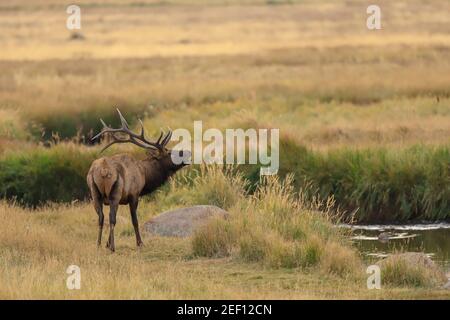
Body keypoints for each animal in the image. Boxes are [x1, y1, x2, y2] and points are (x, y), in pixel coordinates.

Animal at [86, 110, 190, 252]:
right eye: (169, 153)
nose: (188, 153)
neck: (144, 175)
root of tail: (103, 170)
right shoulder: (134, 194)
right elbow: (135, 220)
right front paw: (140, 243)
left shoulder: (122, 198)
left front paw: (107, 243)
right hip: (115, 192)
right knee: (111, 218)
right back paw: (113, 247)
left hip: (95, 193)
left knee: (101, 217)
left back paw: (98, 244)